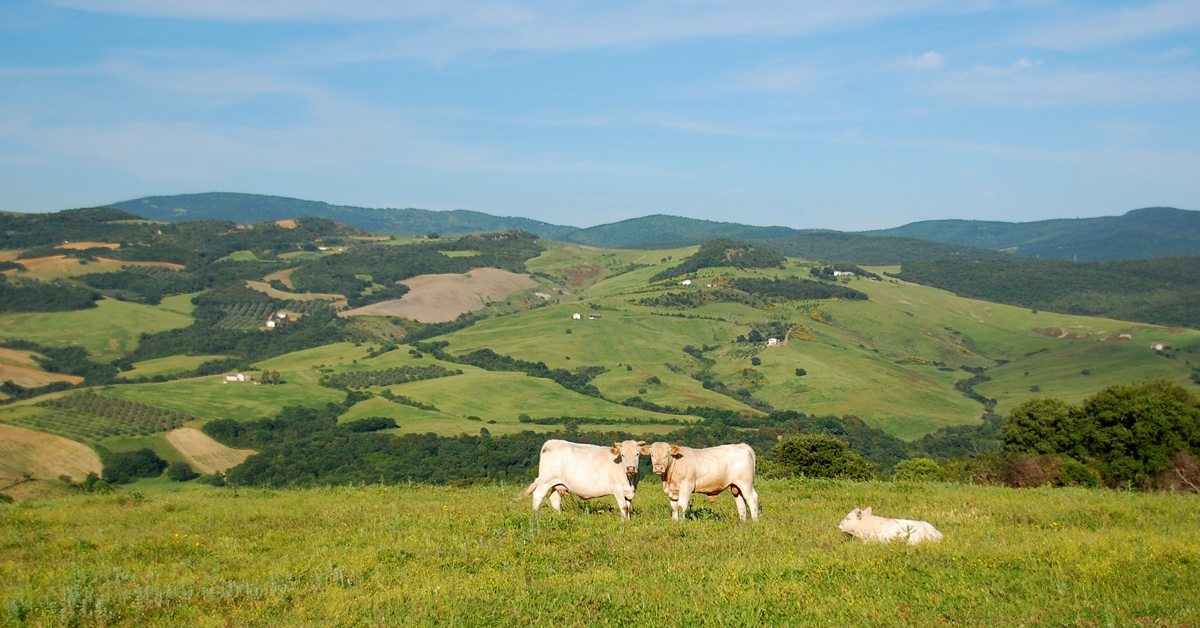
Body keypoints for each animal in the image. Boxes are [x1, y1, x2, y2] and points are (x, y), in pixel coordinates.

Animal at [518, 437, 648, 521]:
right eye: (623, 455)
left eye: (637, 454)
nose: (630, 468)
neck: (630, 481)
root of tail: (551, 442)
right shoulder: (617, 488)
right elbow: (623, 506)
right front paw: (623, 522)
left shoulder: (630, 491)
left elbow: (628, 506)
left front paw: (628, 521)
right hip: (545, 481)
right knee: (538, 496)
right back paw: (535, 515)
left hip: (558, 484)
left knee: (554, 499)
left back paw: (559, 516)